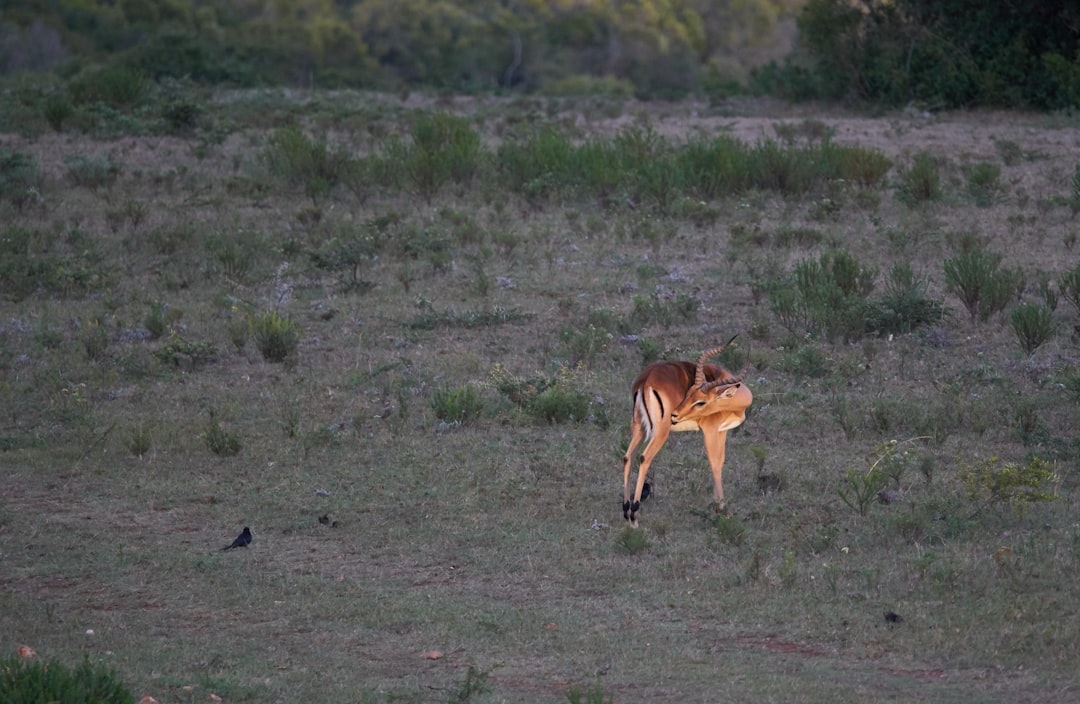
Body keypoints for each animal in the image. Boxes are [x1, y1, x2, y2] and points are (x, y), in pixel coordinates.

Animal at [626, 339, 751, 524]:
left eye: (699, 400)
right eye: (689, 392)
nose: (675, 414)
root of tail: (646, 380)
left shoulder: (722, 431)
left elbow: (720, 462)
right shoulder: (710, 431)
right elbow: (714, 464)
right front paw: (722, 509)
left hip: (638, 427)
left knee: (628, 457)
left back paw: (626, 509)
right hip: (660, 432)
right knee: (644, 457)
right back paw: (634, 513)